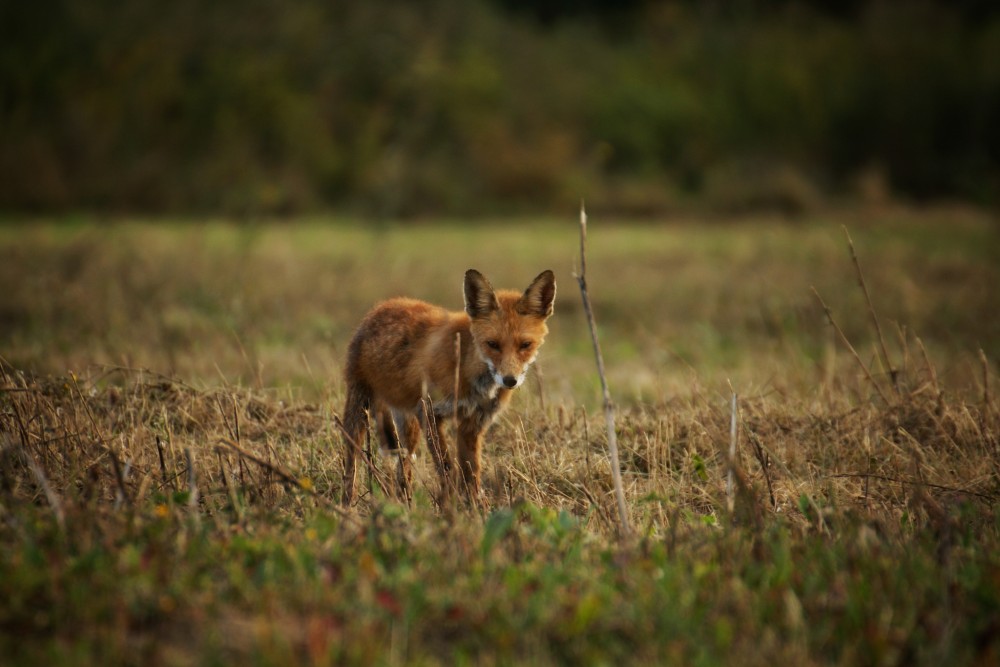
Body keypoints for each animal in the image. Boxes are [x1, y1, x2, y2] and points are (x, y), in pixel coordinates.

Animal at [338, 268, 556, 506]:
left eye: (525, 345)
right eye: (492, 344)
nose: (509, 380)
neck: (469, 371)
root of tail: (381, 306)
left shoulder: (473, 423)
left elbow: (472, 472)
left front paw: (475, 507)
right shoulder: (429, 411)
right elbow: (446, 466)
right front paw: (451, 504)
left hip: (408, 426)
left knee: (403, 468)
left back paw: (406, 502)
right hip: (360, 408)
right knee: (352, 460)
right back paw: (348, 503)